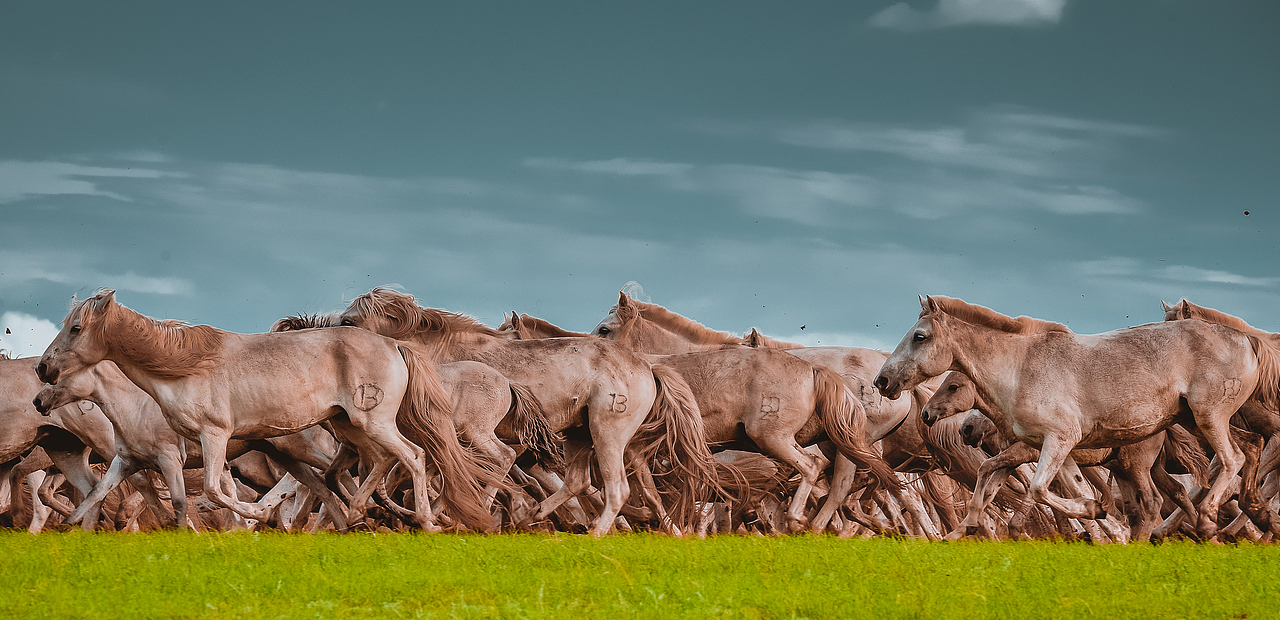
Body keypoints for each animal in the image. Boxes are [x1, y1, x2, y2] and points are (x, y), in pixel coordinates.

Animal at [37, 289, 500, 532]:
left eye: (76, 328)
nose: (42, 370)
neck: (185, 366)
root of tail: (395, 344)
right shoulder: (155, 454)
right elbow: (108, 489)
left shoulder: (212, 436)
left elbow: (212, 490)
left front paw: (257, 515)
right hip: (348, 426)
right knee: (374, 464)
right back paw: (356, 513)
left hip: (372, 423)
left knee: (414, 457)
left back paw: (425, 521)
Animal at [336, 287, 729, 536]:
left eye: (349, 321)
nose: (329, 340)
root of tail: (646, 366)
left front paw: (455, 516)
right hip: (584, 436)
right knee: (596, 484)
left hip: (608, 435)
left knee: (617, 488)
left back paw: (596, 531)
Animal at [875, 295, 1280, 539]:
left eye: (920, 336)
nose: (883, 381)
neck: (1022, 368)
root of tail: (1248, 340)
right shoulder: (1041, 450)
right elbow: (992, 480)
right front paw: (964, 529)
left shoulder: (1058, 441)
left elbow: (1040, 489)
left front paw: (1092, 511)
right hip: (1195, 420)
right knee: (1250, 448)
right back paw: (1253, 510)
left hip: (1206, 418)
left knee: (1231, 459)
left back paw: (1210, 519)